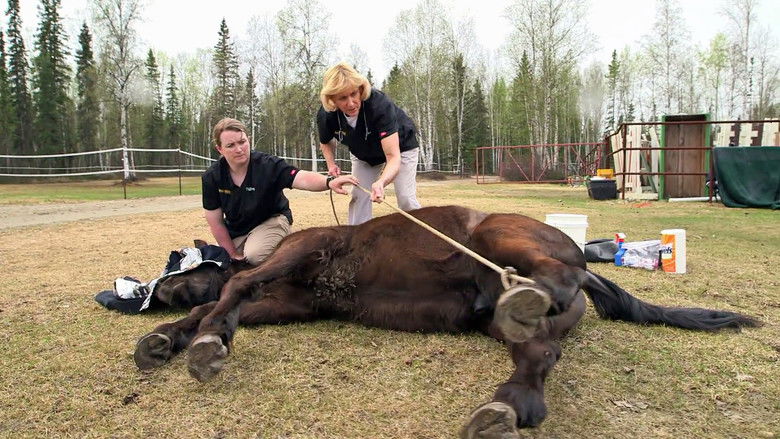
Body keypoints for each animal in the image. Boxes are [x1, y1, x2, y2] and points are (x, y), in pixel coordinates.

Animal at [132, 205, 758, 438]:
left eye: (177, 262)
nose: (152, 293)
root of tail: (586, 269)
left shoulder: (305, 252)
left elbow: (234, 288)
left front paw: (206, 339)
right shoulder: (291, 305)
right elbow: (219, 306)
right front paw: (172, 338)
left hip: (502, 237)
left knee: (554, 279)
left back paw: (532, 299)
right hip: (511, 326)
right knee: (539, 354)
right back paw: (508, 406)